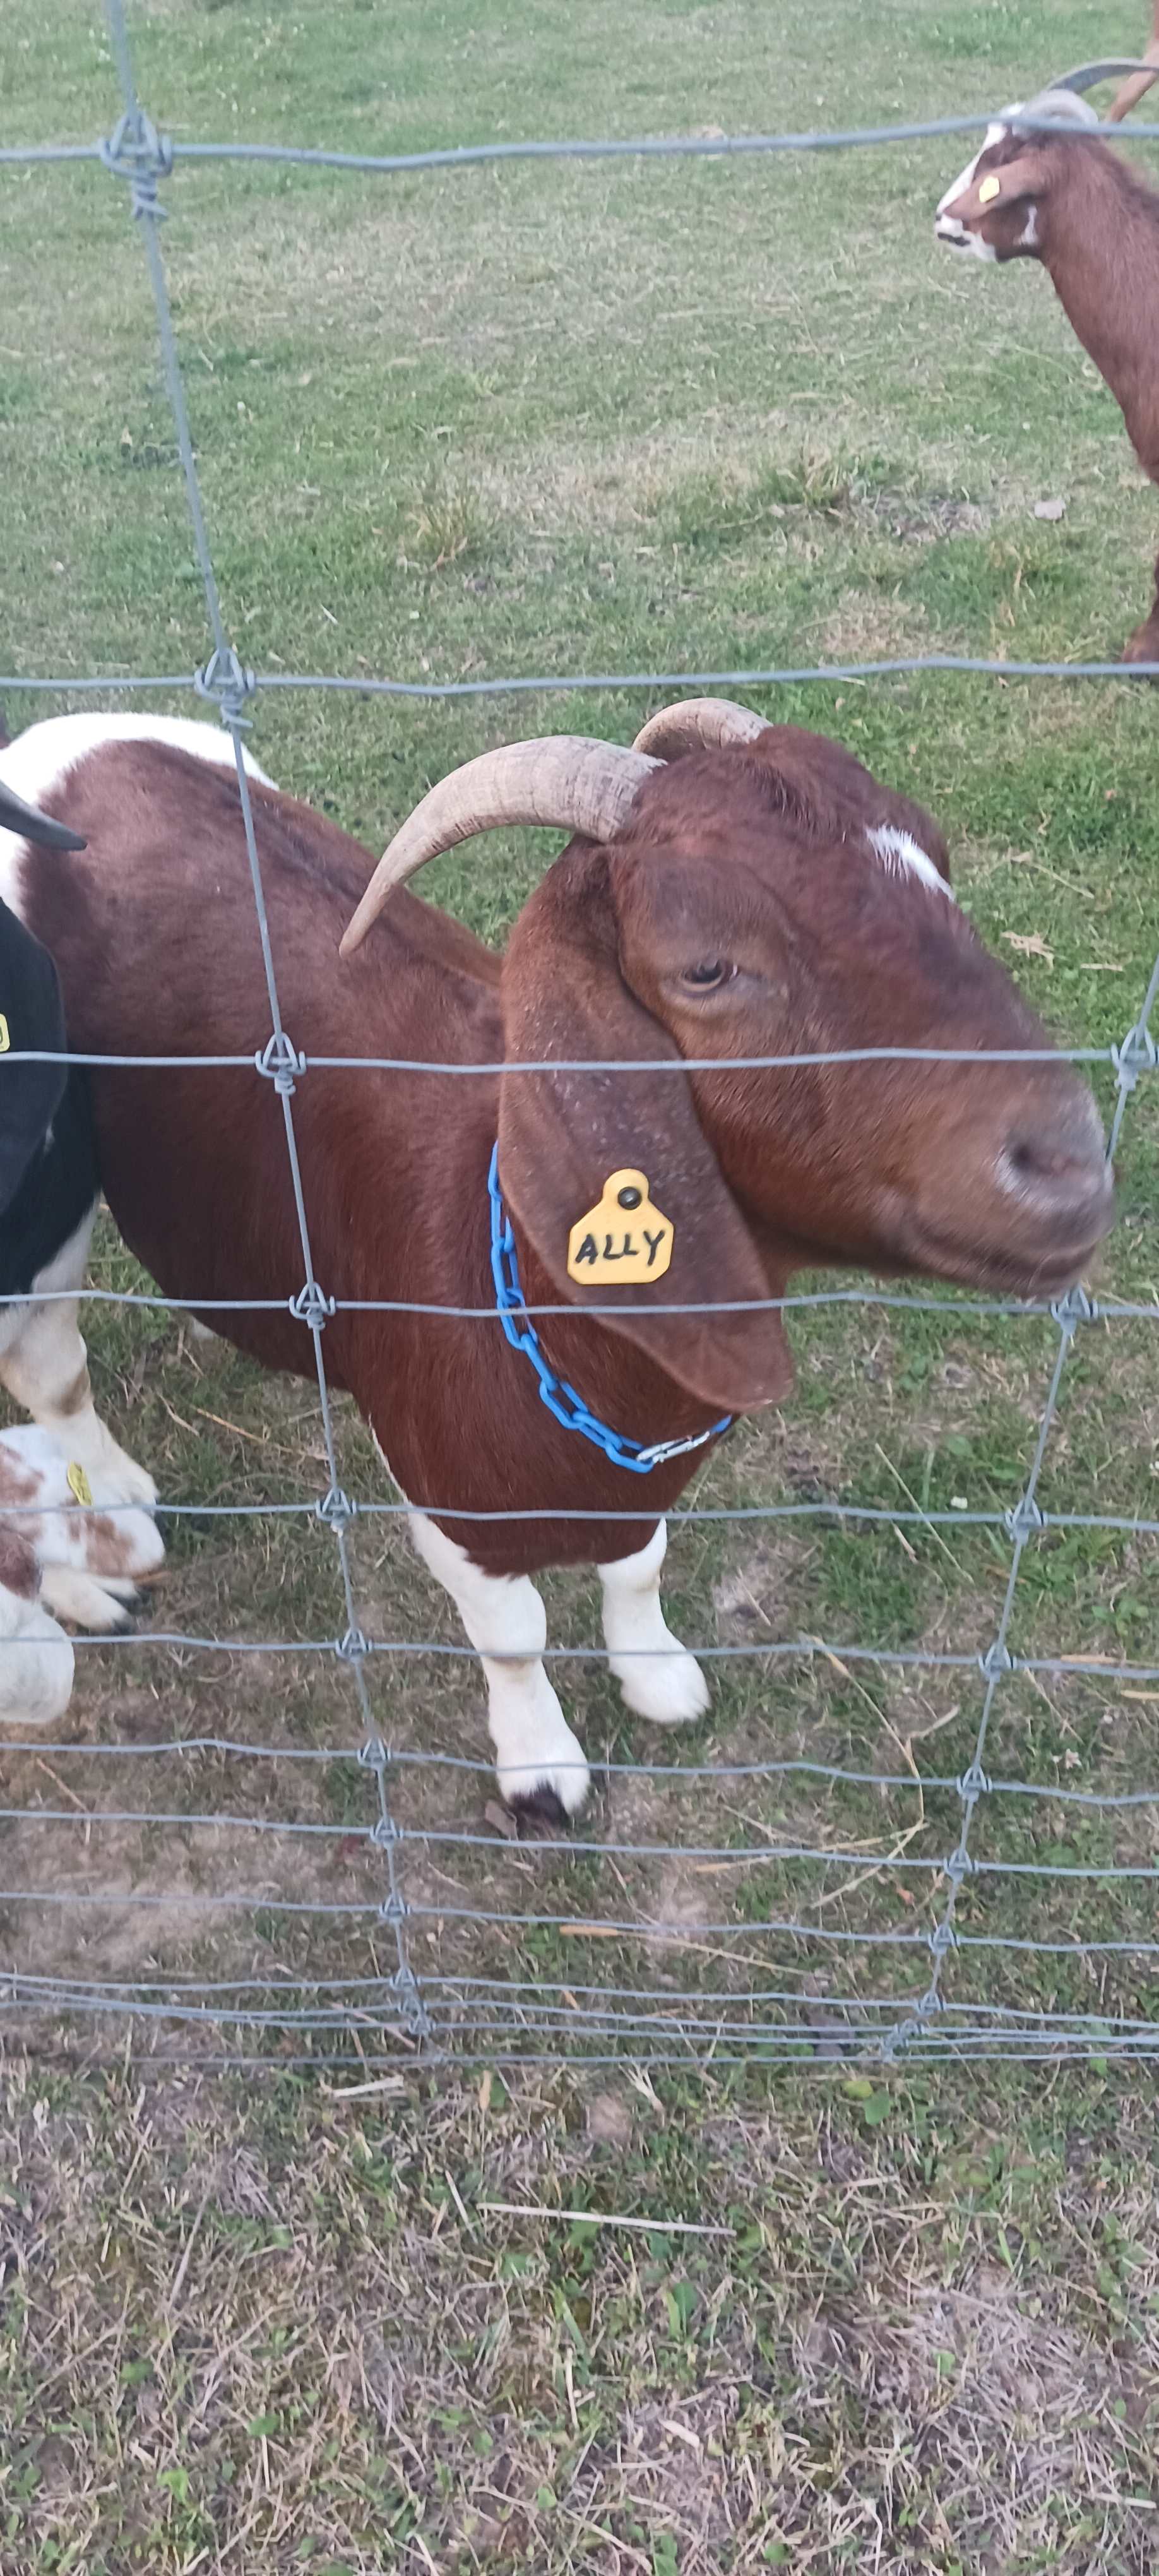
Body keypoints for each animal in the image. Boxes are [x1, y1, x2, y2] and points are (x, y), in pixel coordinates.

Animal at [0, 703, 1113, 1817]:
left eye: (939, 868)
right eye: (705, 967)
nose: (1067, 1165)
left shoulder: (639, 1484)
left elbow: (640, 1567)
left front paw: (657, 1675)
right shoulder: (456, 1507)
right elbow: (514, 1637)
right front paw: (542, 1768)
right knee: (53, 1371)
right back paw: (109, 1516)